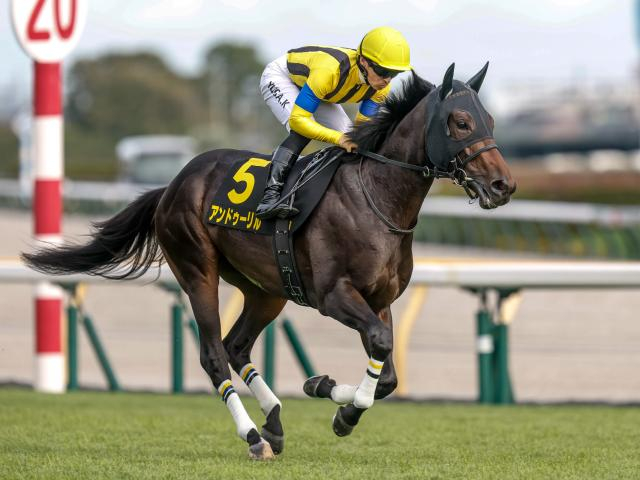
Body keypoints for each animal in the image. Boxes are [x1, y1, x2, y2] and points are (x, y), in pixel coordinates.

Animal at [22, 63, 516, 460]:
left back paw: (274, 421)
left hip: (267, 289)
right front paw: (338, 406)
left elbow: (388, 371)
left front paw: (329, 396)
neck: (377, 197)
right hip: (198, 271)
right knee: (214, 355)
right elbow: (378, 345)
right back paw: (254, 437)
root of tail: (172, 185)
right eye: (461, 121)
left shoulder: (380, 300)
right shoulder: (334, 295)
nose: (503, 185)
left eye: (490, 119)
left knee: (237, 345)